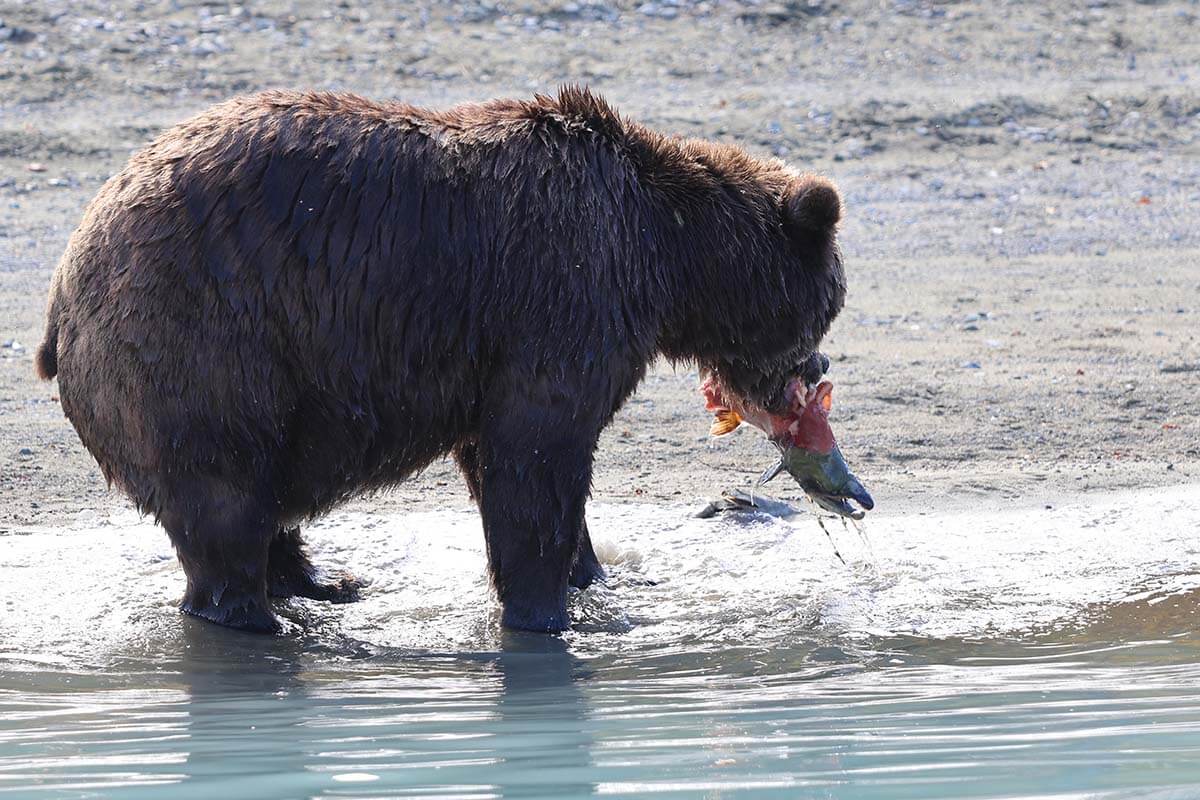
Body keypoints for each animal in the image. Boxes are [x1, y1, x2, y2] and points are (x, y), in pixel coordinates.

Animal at [35, 86, 844, 633]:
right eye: (828, 305)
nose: (817, 371)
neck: (665, 253)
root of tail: (64, 284)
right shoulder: (563, 292)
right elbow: (536, 452)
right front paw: (545, 610)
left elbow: (507, 461)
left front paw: (597, 577)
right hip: (204, 339)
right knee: (223, 495)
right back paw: (264, 617)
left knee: (260, 499)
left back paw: (323, 581)